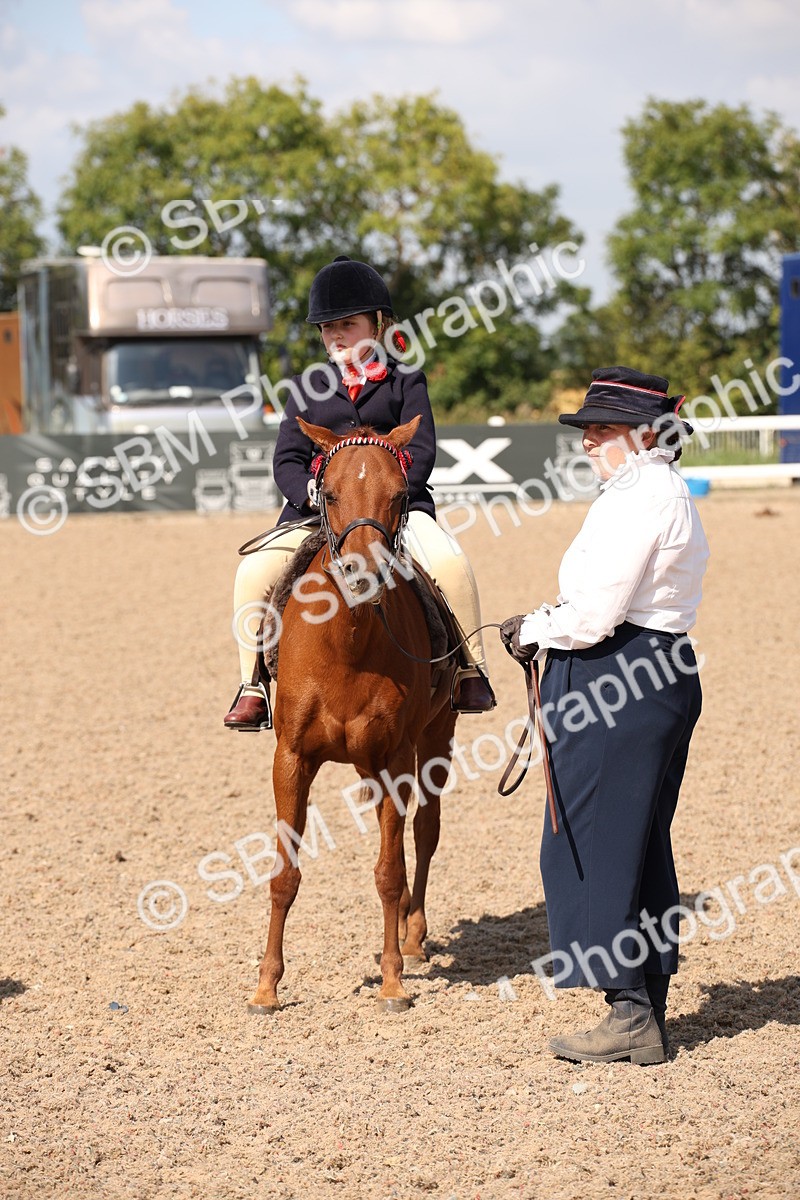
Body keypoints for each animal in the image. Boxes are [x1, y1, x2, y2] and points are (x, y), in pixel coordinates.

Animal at [247, 415, 459, 1014]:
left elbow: (388, 871)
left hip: (436, 739)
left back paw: (412, 937)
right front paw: (267, 987)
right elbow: (284, 875)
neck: (348, 643)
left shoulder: (396, 759)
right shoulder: (292, 759)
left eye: (400, 494)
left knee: (424, 833)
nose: (365, 574)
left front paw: (392, 982)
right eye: (330, 493)